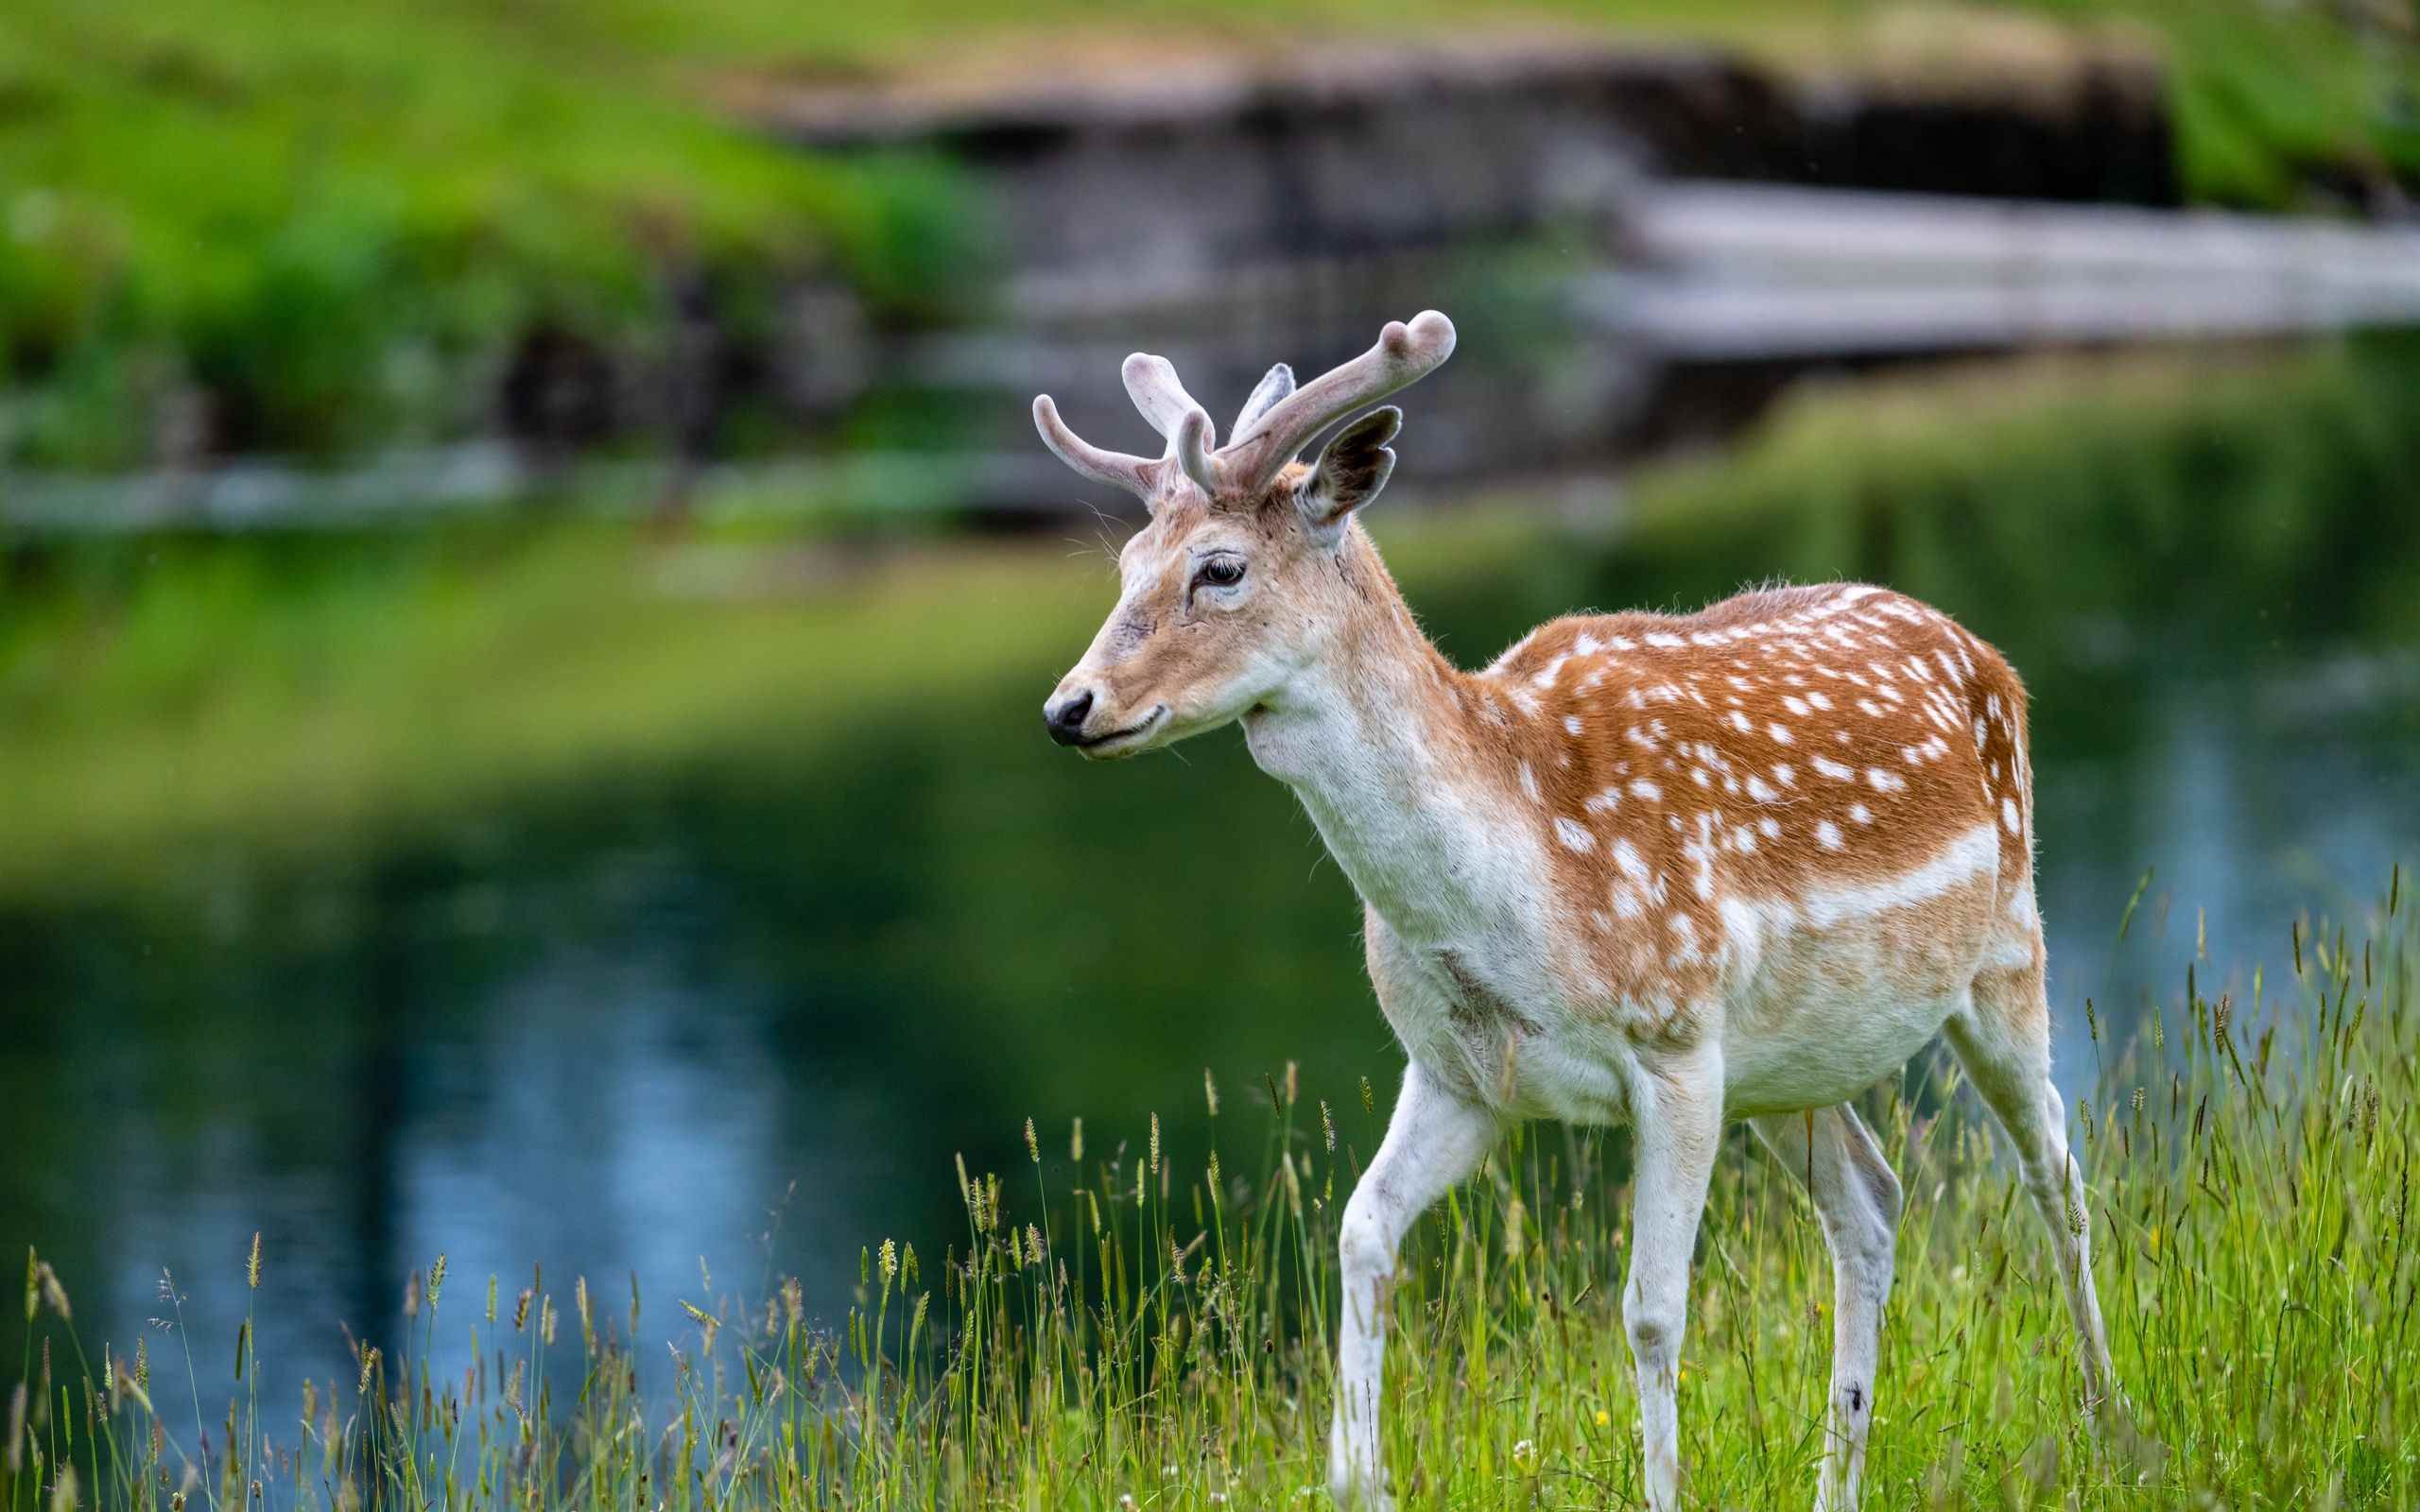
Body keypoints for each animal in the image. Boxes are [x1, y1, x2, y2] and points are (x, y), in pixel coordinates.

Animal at [1035, 312, 2119, 1500]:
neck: (1515, 886)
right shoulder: (1459, 1071)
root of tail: (1989, 657)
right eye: (1124, 564)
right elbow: (1361, 1231)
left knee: (2057, 1168)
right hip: (1791, 1065)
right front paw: (1358, 1479)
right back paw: (1841, 1484)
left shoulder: (1675, 1041)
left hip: (2004, 950)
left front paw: (1662, 1494)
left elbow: (1650, 1311)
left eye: (1219, 568)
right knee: (1873, 1207)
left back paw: (2110, 1424)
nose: (1069, 707)